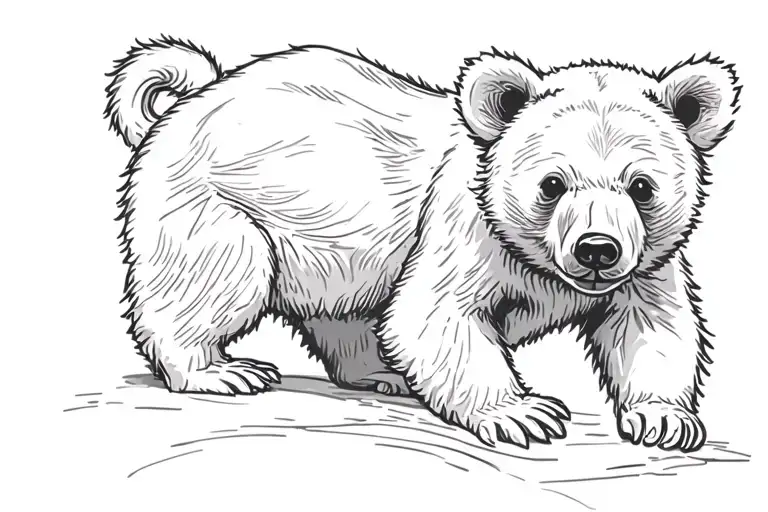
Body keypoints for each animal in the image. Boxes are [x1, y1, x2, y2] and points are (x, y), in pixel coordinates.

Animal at [105, 36, 740, 452]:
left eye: (642, 185)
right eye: (552, 183)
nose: (596, 249)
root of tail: (194, 97)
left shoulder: (649, 263)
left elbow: (653, 325)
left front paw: (665, 420)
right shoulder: (465, 227)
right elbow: (437, 316)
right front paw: (525, 413)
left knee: (346, 310)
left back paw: (376, 373)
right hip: (223, 203)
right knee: (216, 279)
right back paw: (221, 370)